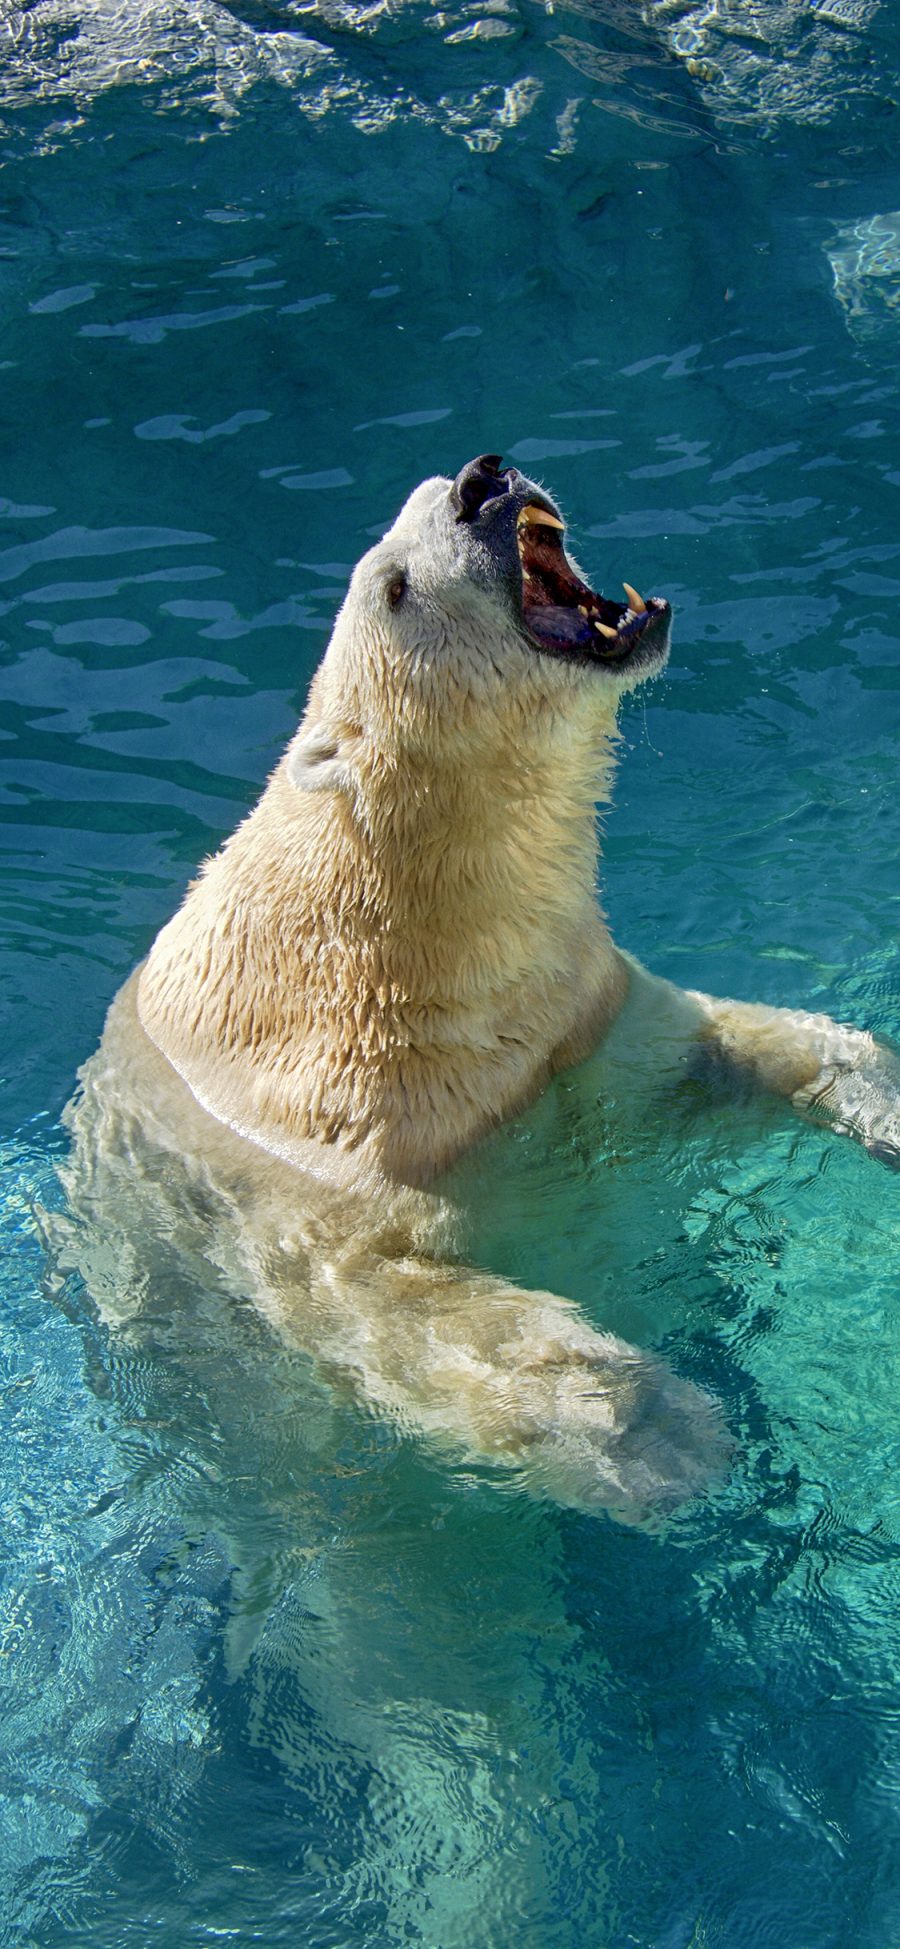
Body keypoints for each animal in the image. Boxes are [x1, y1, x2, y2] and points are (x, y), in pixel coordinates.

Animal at [66, 456, 900, 1520]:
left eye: (433, 488)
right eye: (394, 586)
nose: (481, 480)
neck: (423, 957)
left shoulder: (585, 1018)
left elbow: (723, 1054)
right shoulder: (321, 1153)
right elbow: (392, 1303)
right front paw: (667, 1435)